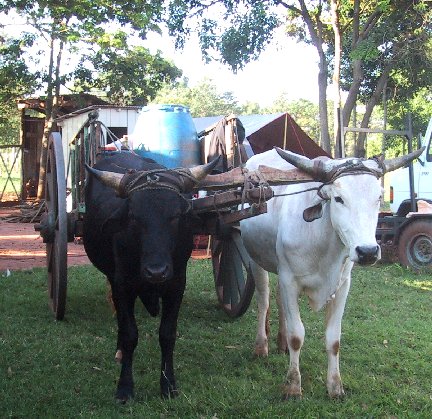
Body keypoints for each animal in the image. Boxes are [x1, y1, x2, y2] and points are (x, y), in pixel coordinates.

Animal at [83, 152, 218, 402]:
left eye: (175, 216)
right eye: (134, 217)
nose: (156, 272)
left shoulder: (177, 284)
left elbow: (167, 334)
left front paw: (168, 384)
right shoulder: (122, 285)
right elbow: (129, 334)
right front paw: (125, 387)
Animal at [239, 147, 423, 399]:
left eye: (378, 197)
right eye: (339, 199)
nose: (368, 252)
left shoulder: (342, 284)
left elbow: (333, 339)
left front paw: (335, 386)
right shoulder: (290, 280)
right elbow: (297, 335)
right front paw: (293, 385)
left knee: (277, 301)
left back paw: (280, 342)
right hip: (256, 260)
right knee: (264, 300)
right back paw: (261, 345)